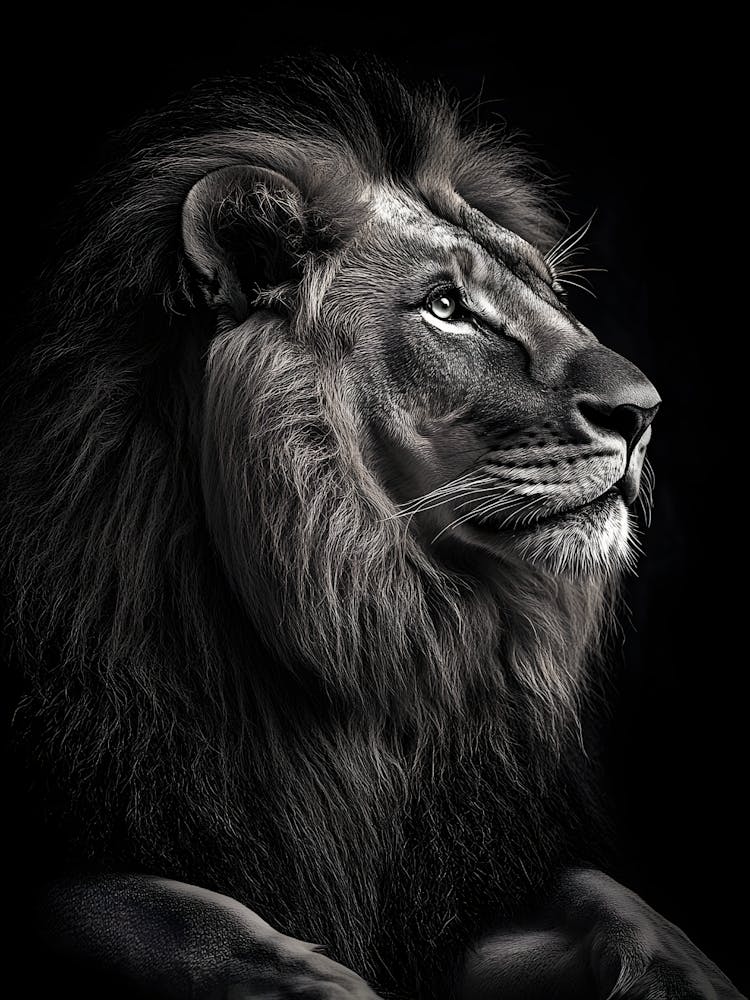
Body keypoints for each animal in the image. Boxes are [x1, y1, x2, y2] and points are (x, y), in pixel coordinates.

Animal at [2, 57, 741, 999]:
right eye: (445, 307)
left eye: (548, 292)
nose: (643, 414)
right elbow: (181, 919)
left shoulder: (454, 884)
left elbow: (612, 899)